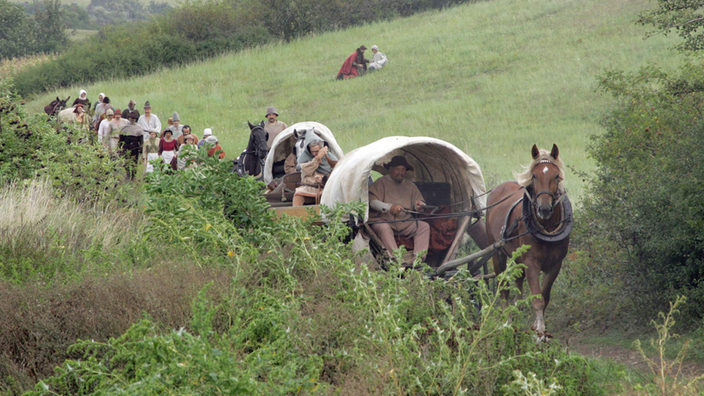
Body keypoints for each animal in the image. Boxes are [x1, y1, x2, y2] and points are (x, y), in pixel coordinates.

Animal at [486, 144, 576, 338]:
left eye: (556, 175)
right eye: (534, 176)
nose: (544, 209)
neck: (547, 228)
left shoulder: (555, 264)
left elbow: (544, 296)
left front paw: (537, 326)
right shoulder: (531, 263)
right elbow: (537, 298)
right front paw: (540, 332)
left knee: (518, 282)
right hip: (497, 253)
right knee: (503, 288)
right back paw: (507, 321)